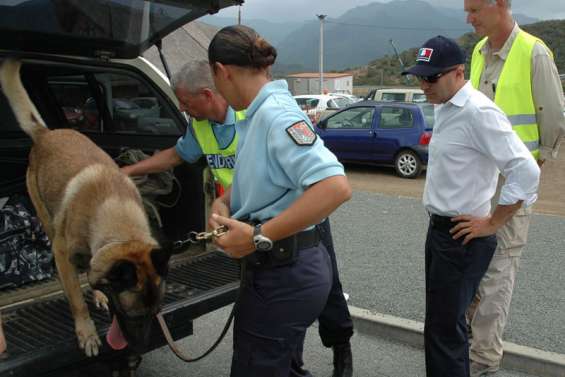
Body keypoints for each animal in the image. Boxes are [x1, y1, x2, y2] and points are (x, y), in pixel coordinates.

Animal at [0, 58, 172, 356]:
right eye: (133, 315)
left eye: (155, 313)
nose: (140, 349)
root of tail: (46, 134)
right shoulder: (62, 252)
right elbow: (76, 299)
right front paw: (86, 332)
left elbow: (89, 275)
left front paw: (99, 293)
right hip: (46, 217)